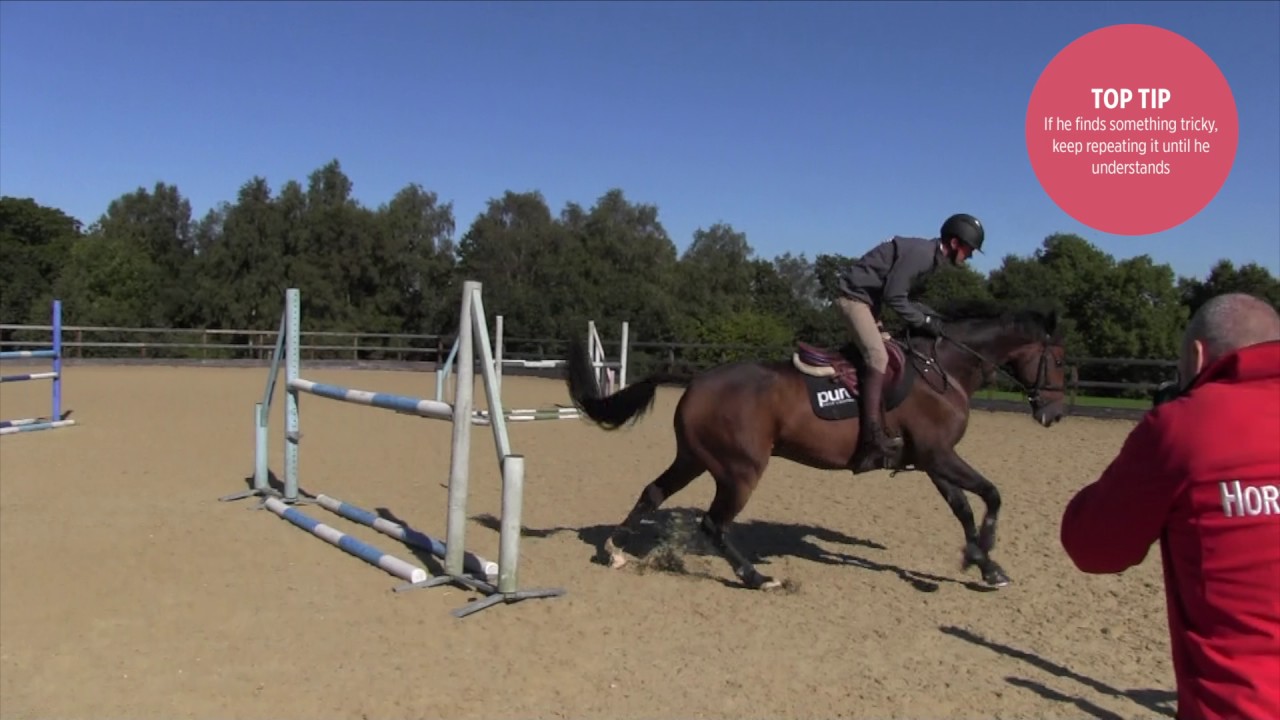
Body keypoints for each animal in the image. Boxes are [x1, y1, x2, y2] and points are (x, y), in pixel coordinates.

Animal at [562, 302, 1071, 592]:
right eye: (1062, 360)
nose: (1056, 413)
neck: (941, 368)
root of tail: (697, 381)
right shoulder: (940, 455)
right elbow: (991, 495)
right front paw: (985, 554)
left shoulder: (931, 460)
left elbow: (964, 508)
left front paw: (984, 564)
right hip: (741, 469)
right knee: (714, 523)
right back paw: (758, 578)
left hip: (694, 458)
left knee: (653, 493)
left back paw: (614, 549)